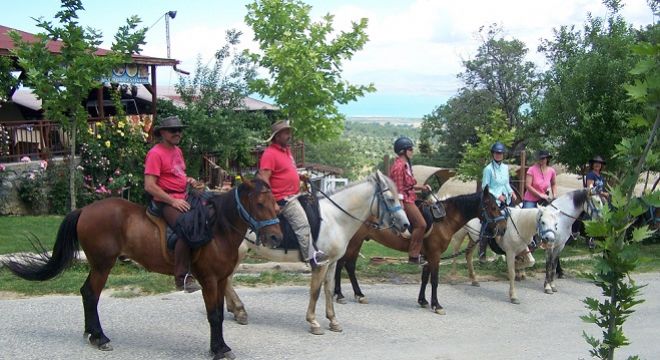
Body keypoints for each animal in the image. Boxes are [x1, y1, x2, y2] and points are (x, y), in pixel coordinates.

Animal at [1, 180, 282, 360]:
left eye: (276, 204)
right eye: (259, 204)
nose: (276, 238)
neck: (217, 230)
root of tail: (85, 210)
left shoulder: (222, 279)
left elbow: (220, 314)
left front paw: (221, 346)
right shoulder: (210, 280)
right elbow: (214, 316)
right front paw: (218, 350)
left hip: (99, 264)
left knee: (85, 293)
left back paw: (92, 334)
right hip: (103, 264)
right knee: (91, 294)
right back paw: (100, 338)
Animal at [223, 171, 408, 334]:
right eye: (390, 199)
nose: (406, 225)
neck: (335, 219)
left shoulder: (332, 263)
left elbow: (329, 290)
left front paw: (333, 321)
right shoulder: (320, 262)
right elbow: (315, 291)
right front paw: (313, 322)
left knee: (228, 279)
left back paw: (235, 309)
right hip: (238, 252)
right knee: (227, 279)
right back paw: (239, 310)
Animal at [332, 187, 508, 314]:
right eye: (493, 207)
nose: (503, 229)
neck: (443, 220)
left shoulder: (428, 255)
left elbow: (424, 278)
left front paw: (423, 301)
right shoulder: (435, 255)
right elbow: (434, 280)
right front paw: (437, 305)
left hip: (358, 242)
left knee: (349, 266)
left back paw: (359, 295)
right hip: (354, 242)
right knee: (342, 264)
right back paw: (339, 294)